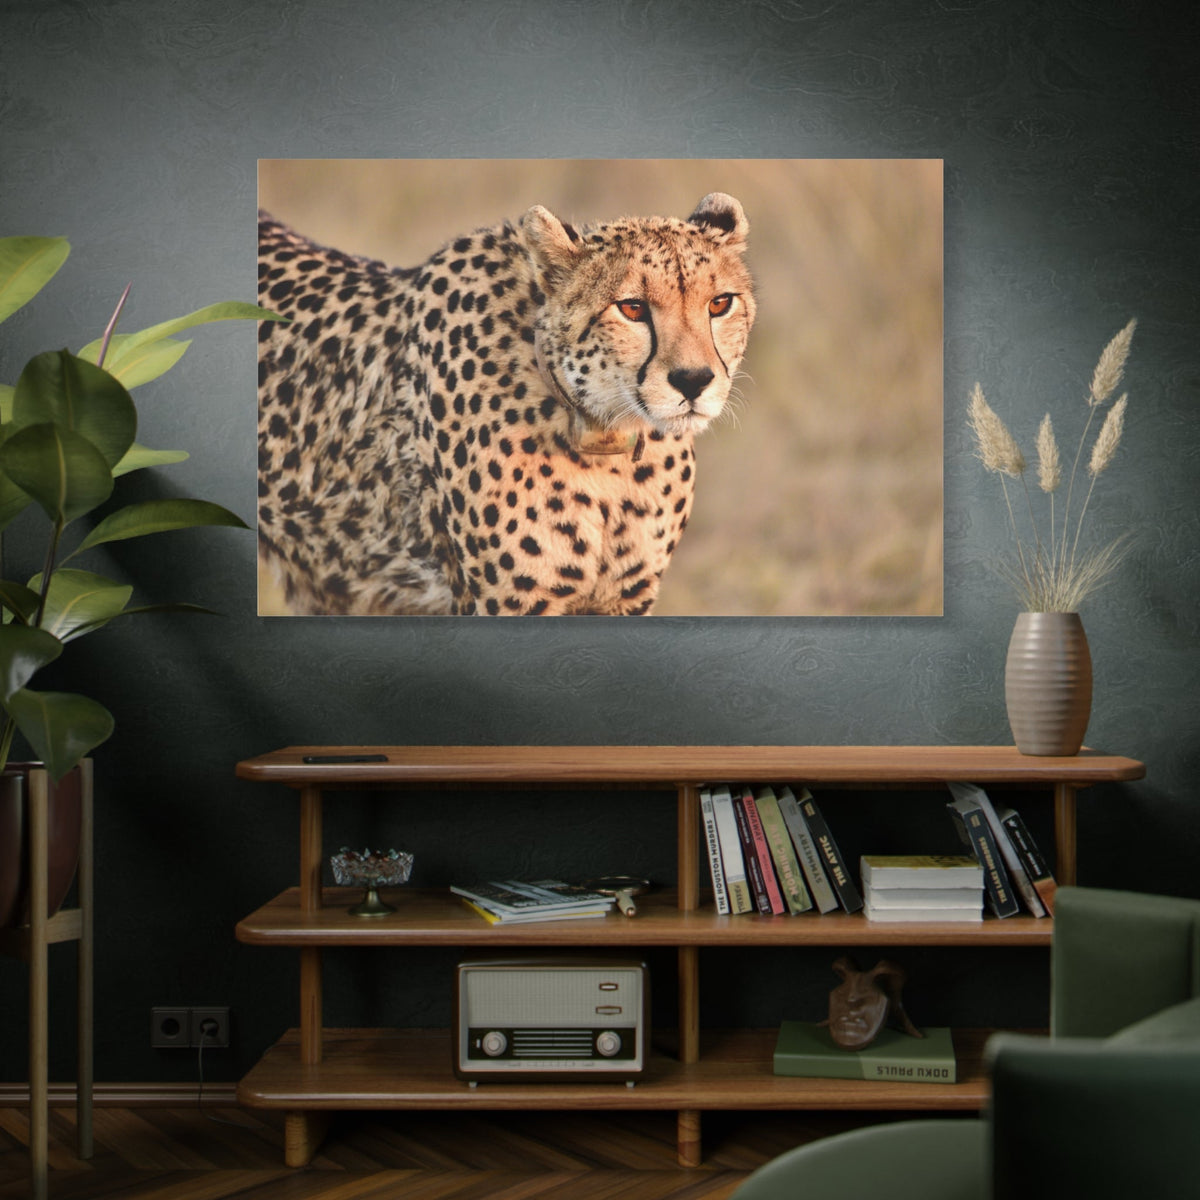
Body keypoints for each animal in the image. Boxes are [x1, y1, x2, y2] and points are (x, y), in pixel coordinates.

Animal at [256, 192, 756, 615]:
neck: (605, 445)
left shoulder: (624, 600)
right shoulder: (509, 603)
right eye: (632, 308)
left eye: (720, 303)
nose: (694, 380)